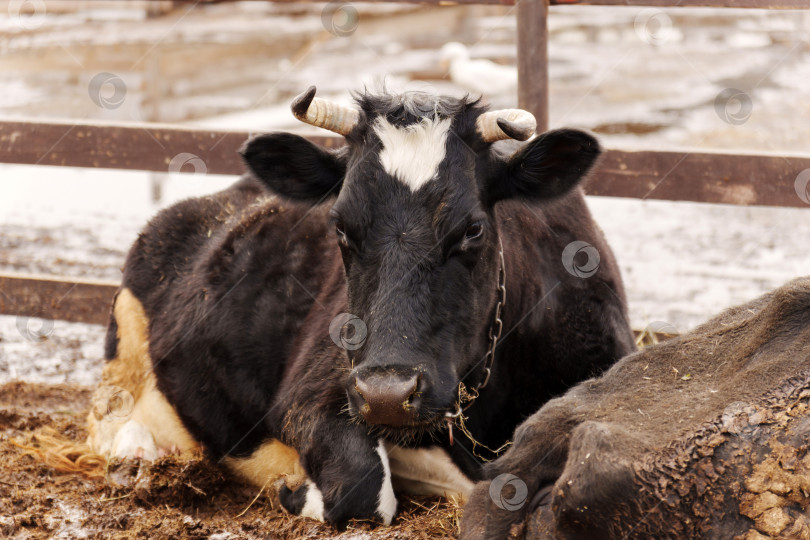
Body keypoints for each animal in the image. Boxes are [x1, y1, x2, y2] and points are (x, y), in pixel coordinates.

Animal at [87, 86, 636, 526]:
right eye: (340, 227)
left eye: (473, 228)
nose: (387, 394)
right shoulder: (313, 392)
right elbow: (363, 486)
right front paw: (294, 488)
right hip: (126, 343)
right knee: (109, 419)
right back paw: (137, 459)